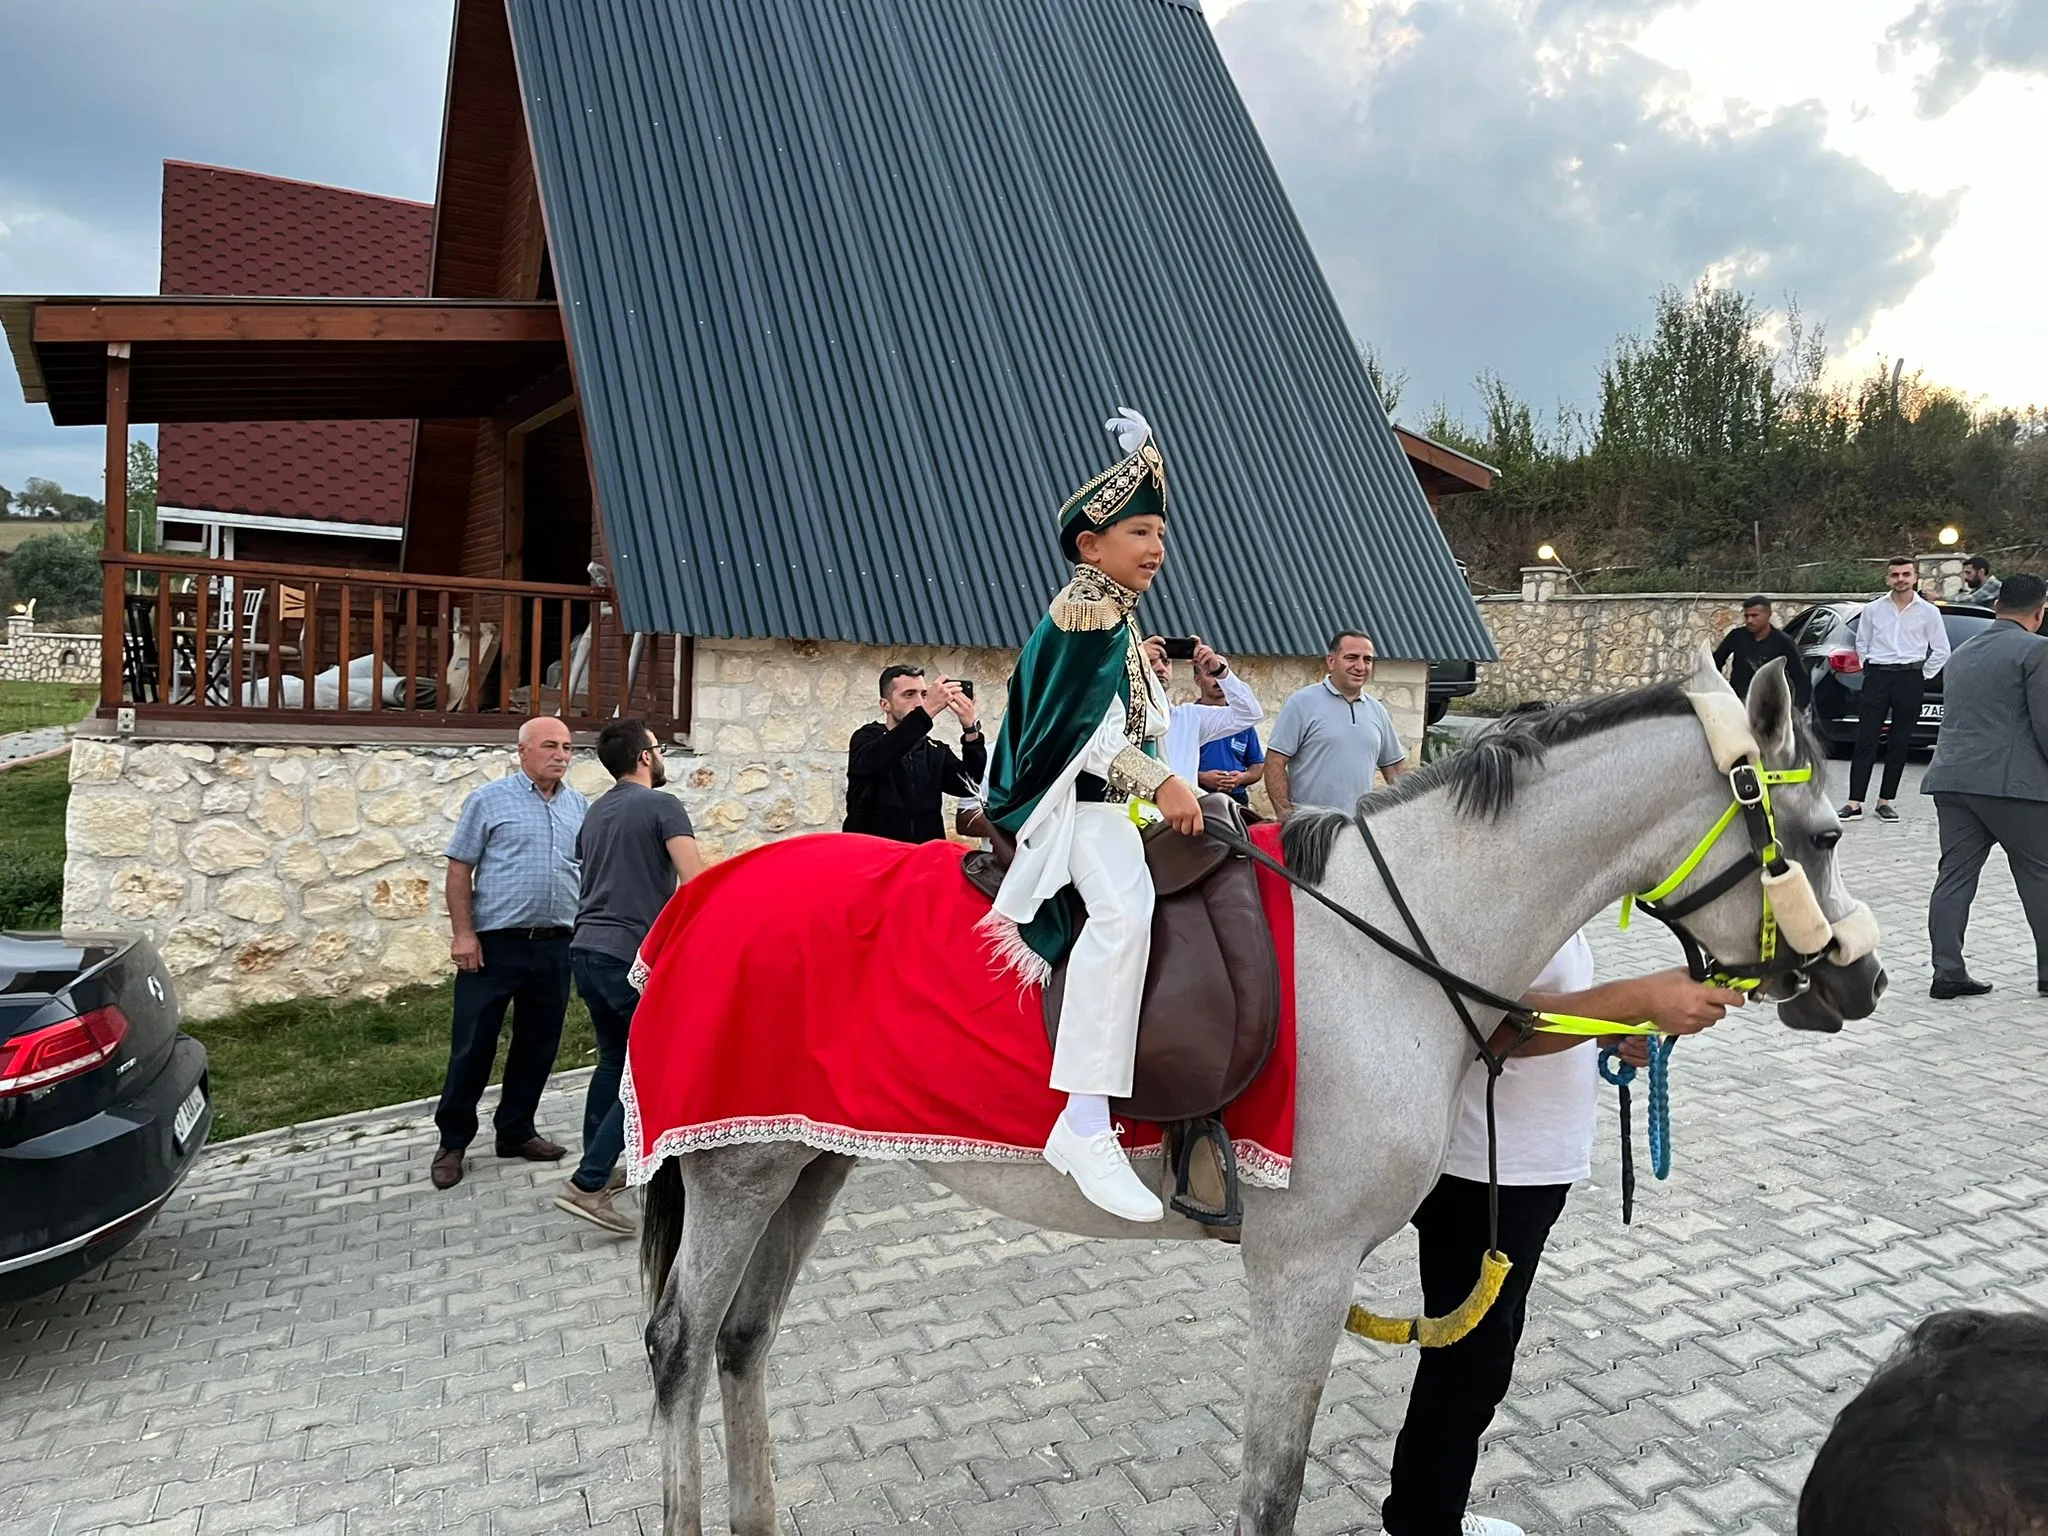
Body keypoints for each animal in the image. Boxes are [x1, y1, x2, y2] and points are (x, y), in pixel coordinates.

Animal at [630, 663, 1875, 1536]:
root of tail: (704, 899)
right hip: (736, 1168)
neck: (1392, 942)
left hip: (807, 1156)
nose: (1856, 980)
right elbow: (1270, 1490)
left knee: (743, 1341)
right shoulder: (1302, 1269)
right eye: (1819, 835)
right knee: (680, 1347)